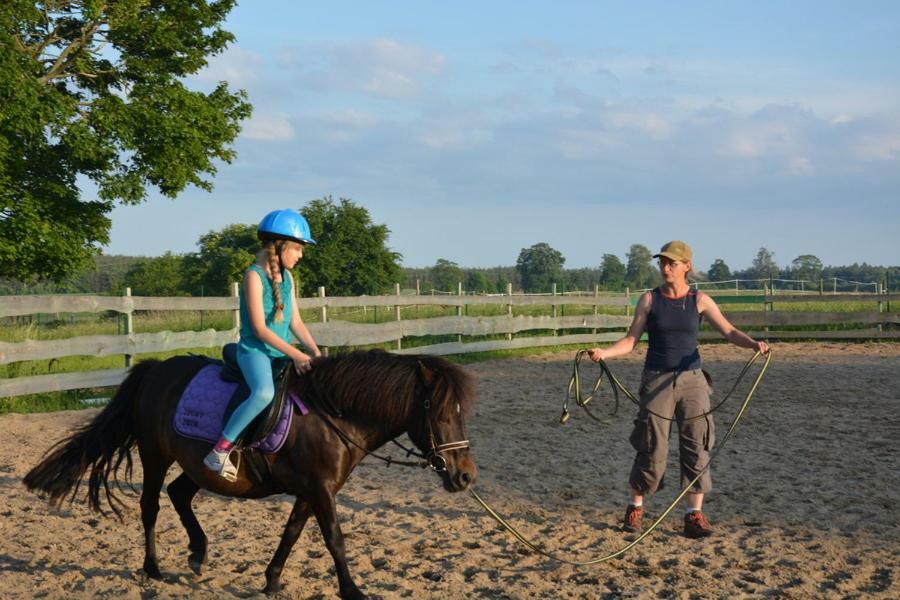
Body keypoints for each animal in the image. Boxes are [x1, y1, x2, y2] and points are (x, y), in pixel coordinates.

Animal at [24, 350, 478, 596]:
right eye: (441, 414)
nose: (465, 477)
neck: (334, 414)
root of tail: (155, 369)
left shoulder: (312, 490)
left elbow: (292, 533)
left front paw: (272, 580)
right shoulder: (321, 489)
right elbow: (334, 539)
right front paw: (352, 591)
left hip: (197, 465)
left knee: (179, 494)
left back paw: (198, 552)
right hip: (155, 454)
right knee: (151, 505)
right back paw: (154, 567)